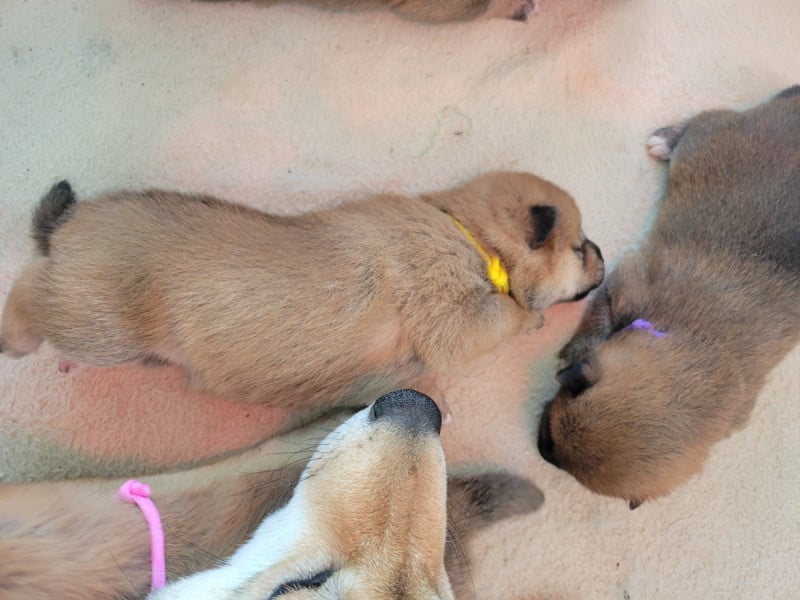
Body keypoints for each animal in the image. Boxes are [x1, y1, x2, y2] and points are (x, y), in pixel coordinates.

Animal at [1, 171, 604, 415]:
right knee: (30, 292)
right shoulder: (452, 319)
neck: (471, 235)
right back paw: (14, 338)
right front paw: (530, 318)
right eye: (578, 249)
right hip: (96, 322)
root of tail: (68, 223)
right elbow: (502, 312)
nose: (601, 256)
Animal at [536, 86, 800, 508]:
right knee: (706, 117)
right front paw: (571, 350)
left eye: (551, 442)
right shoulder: (621, 287)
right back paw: (666, 138)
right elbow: (594, 322)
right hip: (710, 137)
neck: (693, 338)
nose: (538, 448)